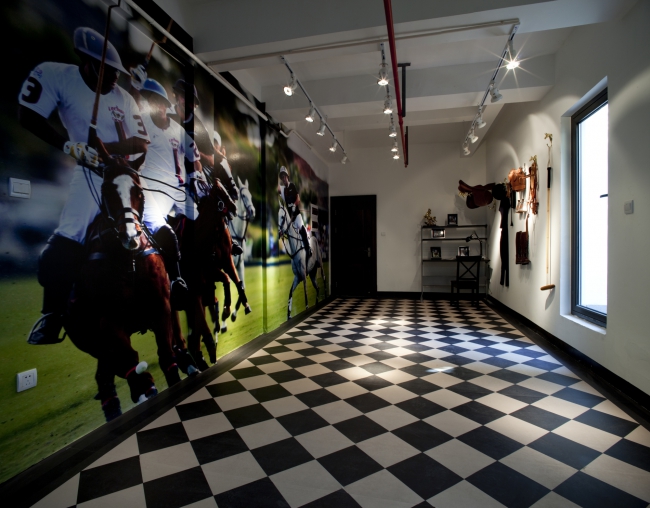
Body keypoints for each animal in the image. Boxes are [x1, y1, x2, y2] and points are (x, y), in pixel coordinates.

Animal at [63, 163, 195, 422]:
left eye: (139, 192)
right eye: (106, 191)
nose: (131, 236)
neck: (128, 261)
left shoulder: (161, 307)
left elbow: (167, 356)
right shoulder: (108, 322)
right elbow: (130, 362)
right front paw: (145, 388)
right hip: (89, 338)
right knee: (108, 375)